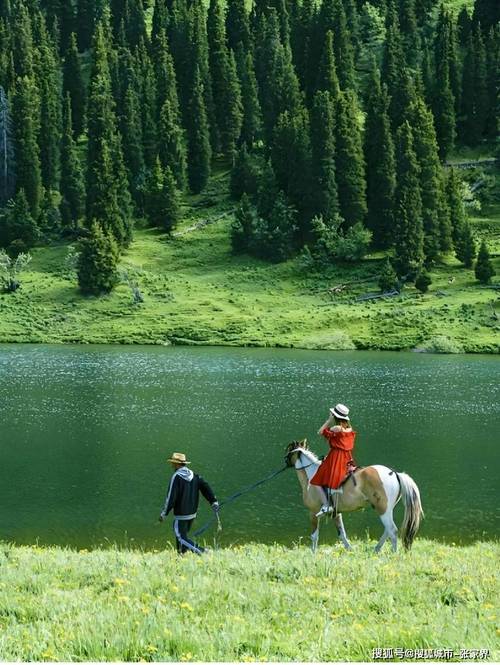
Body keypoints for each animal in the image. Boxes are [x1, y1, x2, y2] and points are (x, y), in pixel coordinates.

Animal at [286, 438, 422, 552]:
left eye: (288, 453)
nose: (285, 461)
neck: (312, 476)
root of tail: (394, 473)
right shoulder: (336, 513)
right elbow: (342, 534)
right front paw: (349, 550)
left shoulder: (313, 512)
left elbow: (314, 535)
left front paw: (313, 554)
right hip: (387, 510)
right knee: (387, 530)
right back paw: (376, 549)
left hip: (383, 509)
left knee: (392, 531)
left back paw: (393, 553)